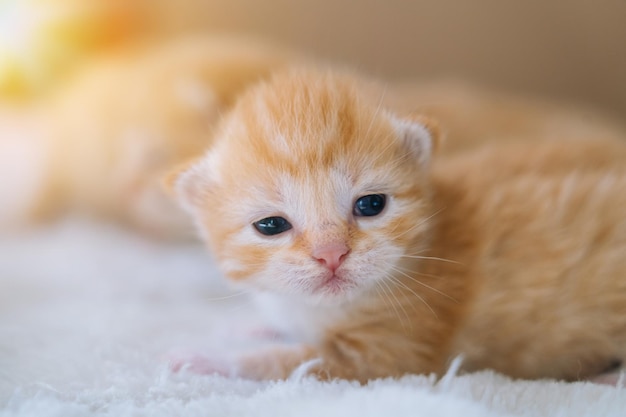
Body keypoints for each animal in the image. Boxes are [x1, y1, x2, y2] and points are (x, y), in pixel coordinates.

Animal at [169, 69, 624, 384]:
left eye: (371, 205)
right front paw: (255, 326)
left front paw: (206, 360)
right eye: (270, 225)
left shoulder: (393, 353)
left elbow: (287, 363)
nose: (331, 254)